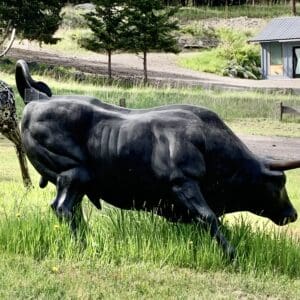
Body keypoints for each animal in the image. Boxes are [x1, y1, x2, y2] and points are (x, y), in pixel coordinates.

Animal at [15, 60, 300, 258]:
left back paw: (90, 239)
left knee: (73, 211)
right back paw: (84, 244)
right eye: (279, 182)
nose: (293, 214)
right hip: (74, 174)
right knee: (63, 208)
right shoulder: (183, 183)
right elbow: (209, 217)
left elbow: (204, 221)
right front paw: (231, 254)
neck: (209, 144)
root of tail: (36, 100)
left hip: (80, 182)